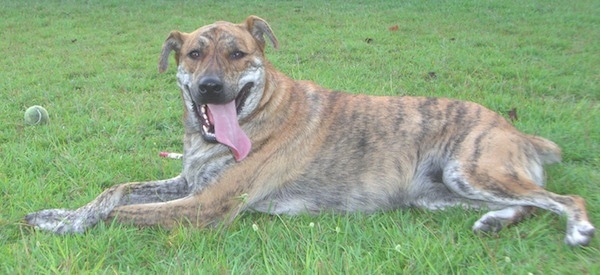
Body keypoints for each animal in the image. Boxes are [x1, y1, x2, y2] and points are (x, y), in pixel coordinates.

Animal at [24, 16, 596, 247]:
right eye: (193, 53)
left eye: (238, 54)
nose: (210, 88)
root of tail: (514, 129)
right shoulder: (187, 184)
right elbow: (114, 192)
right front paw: (59, 215)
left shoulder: (204, 205)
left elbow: (117, 213)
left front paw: (65, 228)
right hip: (440, 193)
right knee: (527, 204)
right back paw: (495, 223)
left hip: (473, 167)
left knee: (562, 198)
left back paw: (576, 229)